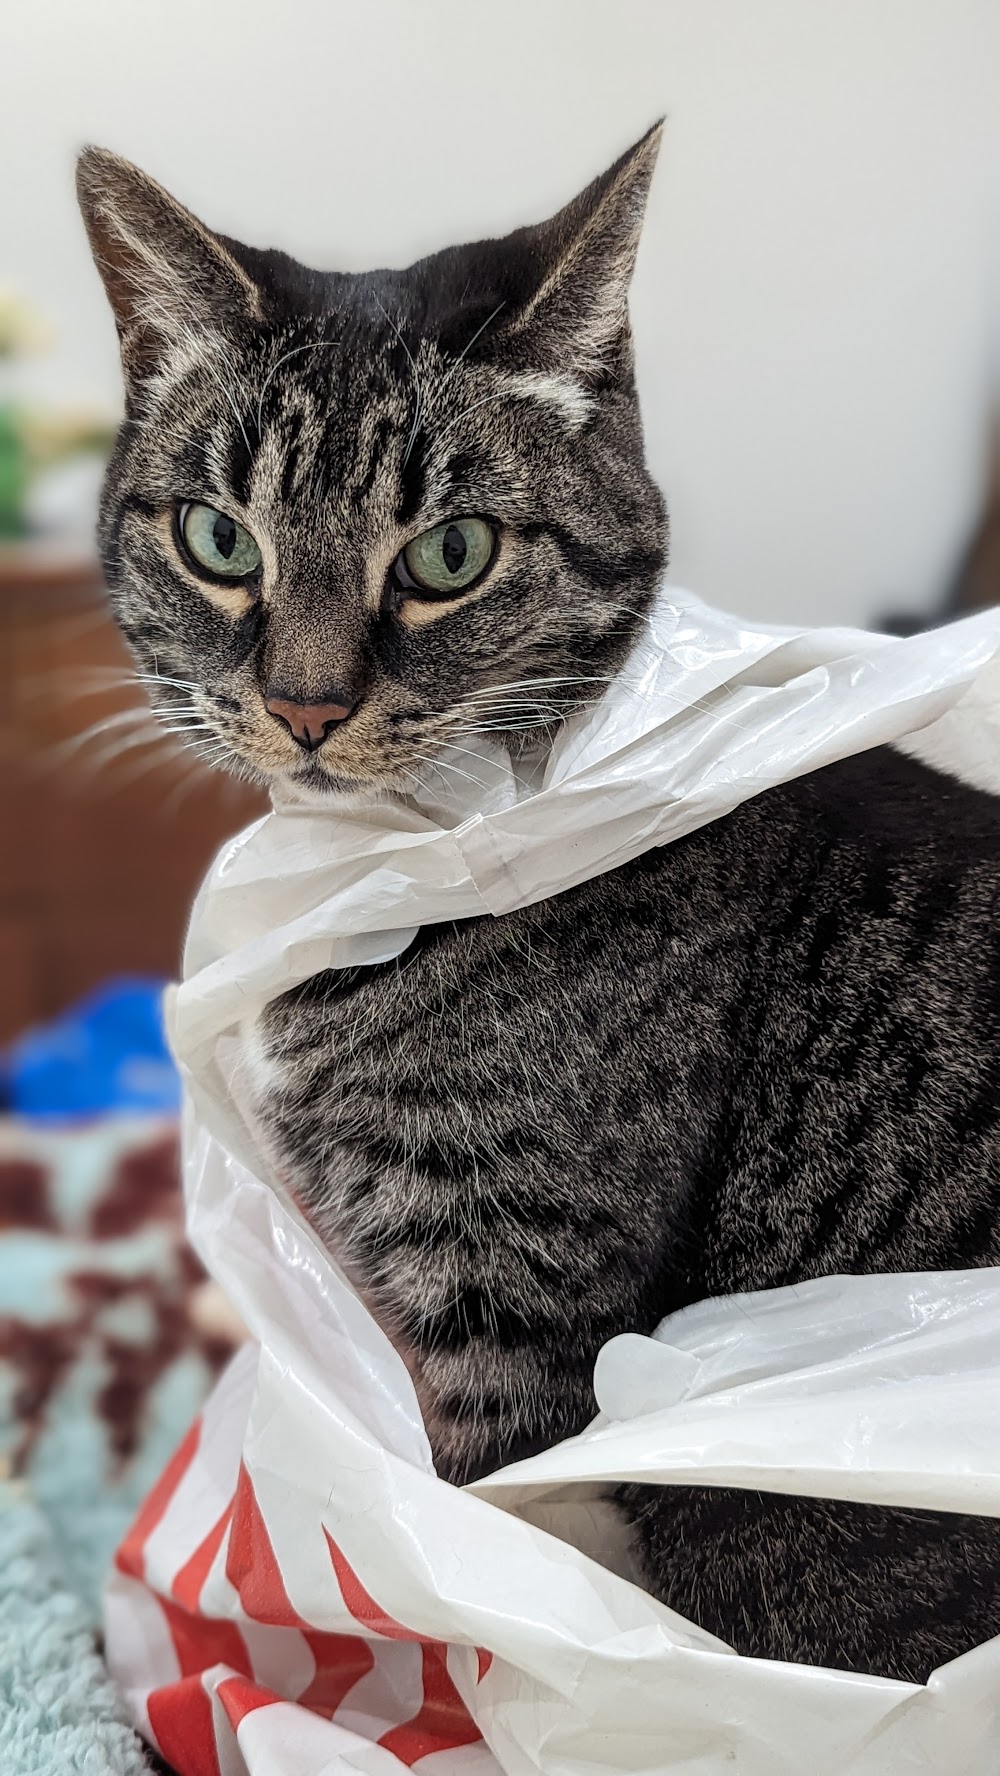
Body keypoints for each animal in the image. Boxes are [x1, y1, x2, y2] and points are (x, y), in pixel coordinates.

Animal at [74, 131, 1000, 1683]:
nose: (305, 706)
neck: (384, 873)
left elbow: (480, 1522)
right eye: (219, 539)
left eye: (449, 556)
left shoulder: (506, 1312)